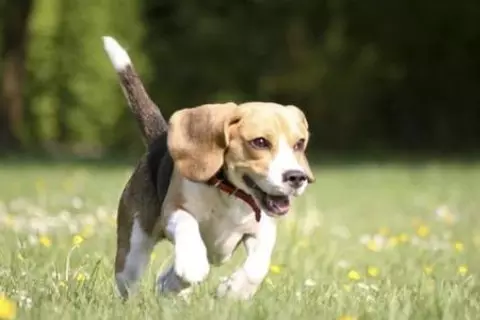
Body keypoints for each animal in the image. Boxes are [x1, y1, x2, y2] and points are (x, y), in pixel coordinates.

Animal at [102, 36, 316, 298]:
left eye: (299, 143)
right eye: (260, 142)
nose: (296, 177)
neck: (230, 193)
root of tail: (158, 140)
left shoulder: (263, 228)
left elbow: (258, 266)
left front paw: (234, 291)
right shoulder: (174, 210)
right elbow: (187, 227)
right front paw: (193, 265)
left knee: (167, 278)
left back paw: (171, 287)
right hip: (133, 248)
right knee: (130, 281)